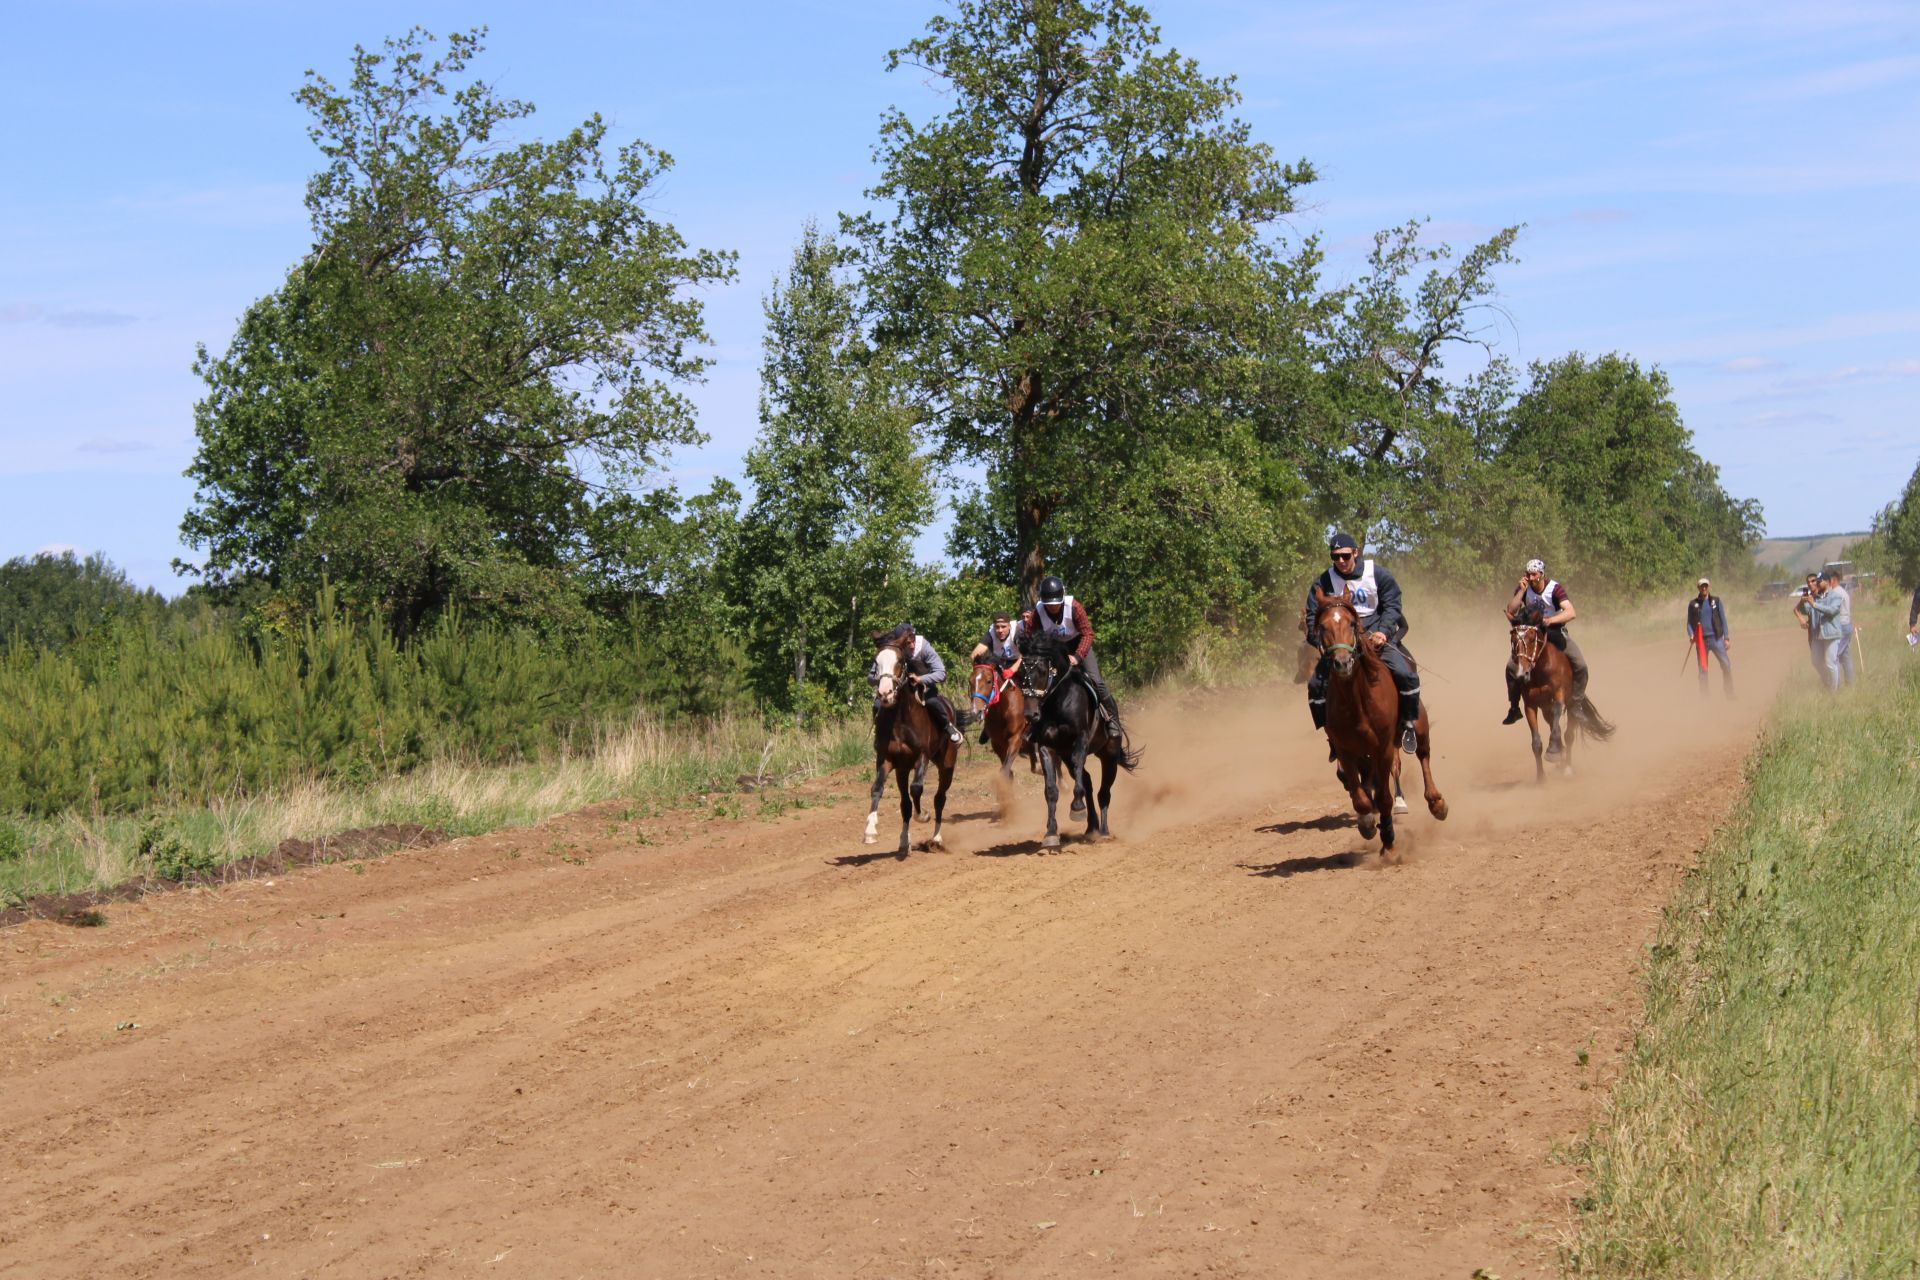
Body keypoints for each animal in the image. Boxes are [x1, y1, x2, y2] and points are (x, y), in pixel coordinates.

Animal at [864, 625, 960, 855]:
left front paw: (923, 815)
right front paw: (870, 830)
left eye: (899, 661)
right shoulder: (887, 759)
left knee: (939, 798)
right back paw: (903, 843)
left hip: (947, 765)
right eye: (876, 662)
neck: (900, 720)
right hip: (902, 770)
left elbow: (917, 788)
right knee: (905, 804)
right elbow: (877, 789)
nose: (885, 693)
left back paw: (936, 838)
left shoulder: (922, 756)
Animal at [1013, 633, 1128, 852]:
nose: (1031, 714)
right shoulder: (1047, 747)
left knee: (1103, 792)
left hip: (1109, 755)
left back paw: (1103, 831)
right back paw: (1091, 827)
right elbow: (1051, 790)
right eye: (1020, 673)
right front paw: (1051, 834)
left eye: (1042, 671)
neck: (1059, 702)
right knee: (1087, 781)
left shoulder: (1080, 739)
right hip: (1065, 754)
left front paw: (1076, 808)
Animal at [1313, 591, 1443, 859]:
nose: (1342, 663)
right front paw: (1367, 824)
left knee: (1424, 756)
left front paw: (1389, 841)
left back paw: (1437, 803)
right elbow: (1360, 797)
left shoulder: (1383, 748)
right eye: (1322, 626)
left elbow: (1384, 797)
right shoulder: (1346, 751)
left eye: (1352, 624)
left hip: (1419, 726)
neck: (1358, 703)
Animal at [1505, 602, 1612, 782]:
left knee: (1568, 734)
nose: (1521, 674)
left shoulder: (1559, 696)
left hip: (1571, 707)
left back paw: (1567, 767)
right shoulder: (1530, 705)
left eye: (1532, 638)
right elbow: (1536, 743)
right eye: (1512, 640)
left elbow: (1559, 724)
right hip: (1545, 709)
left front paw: (1553, 751)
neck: (1540, 670)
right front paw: (1540, 778)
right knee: (1557, 729)